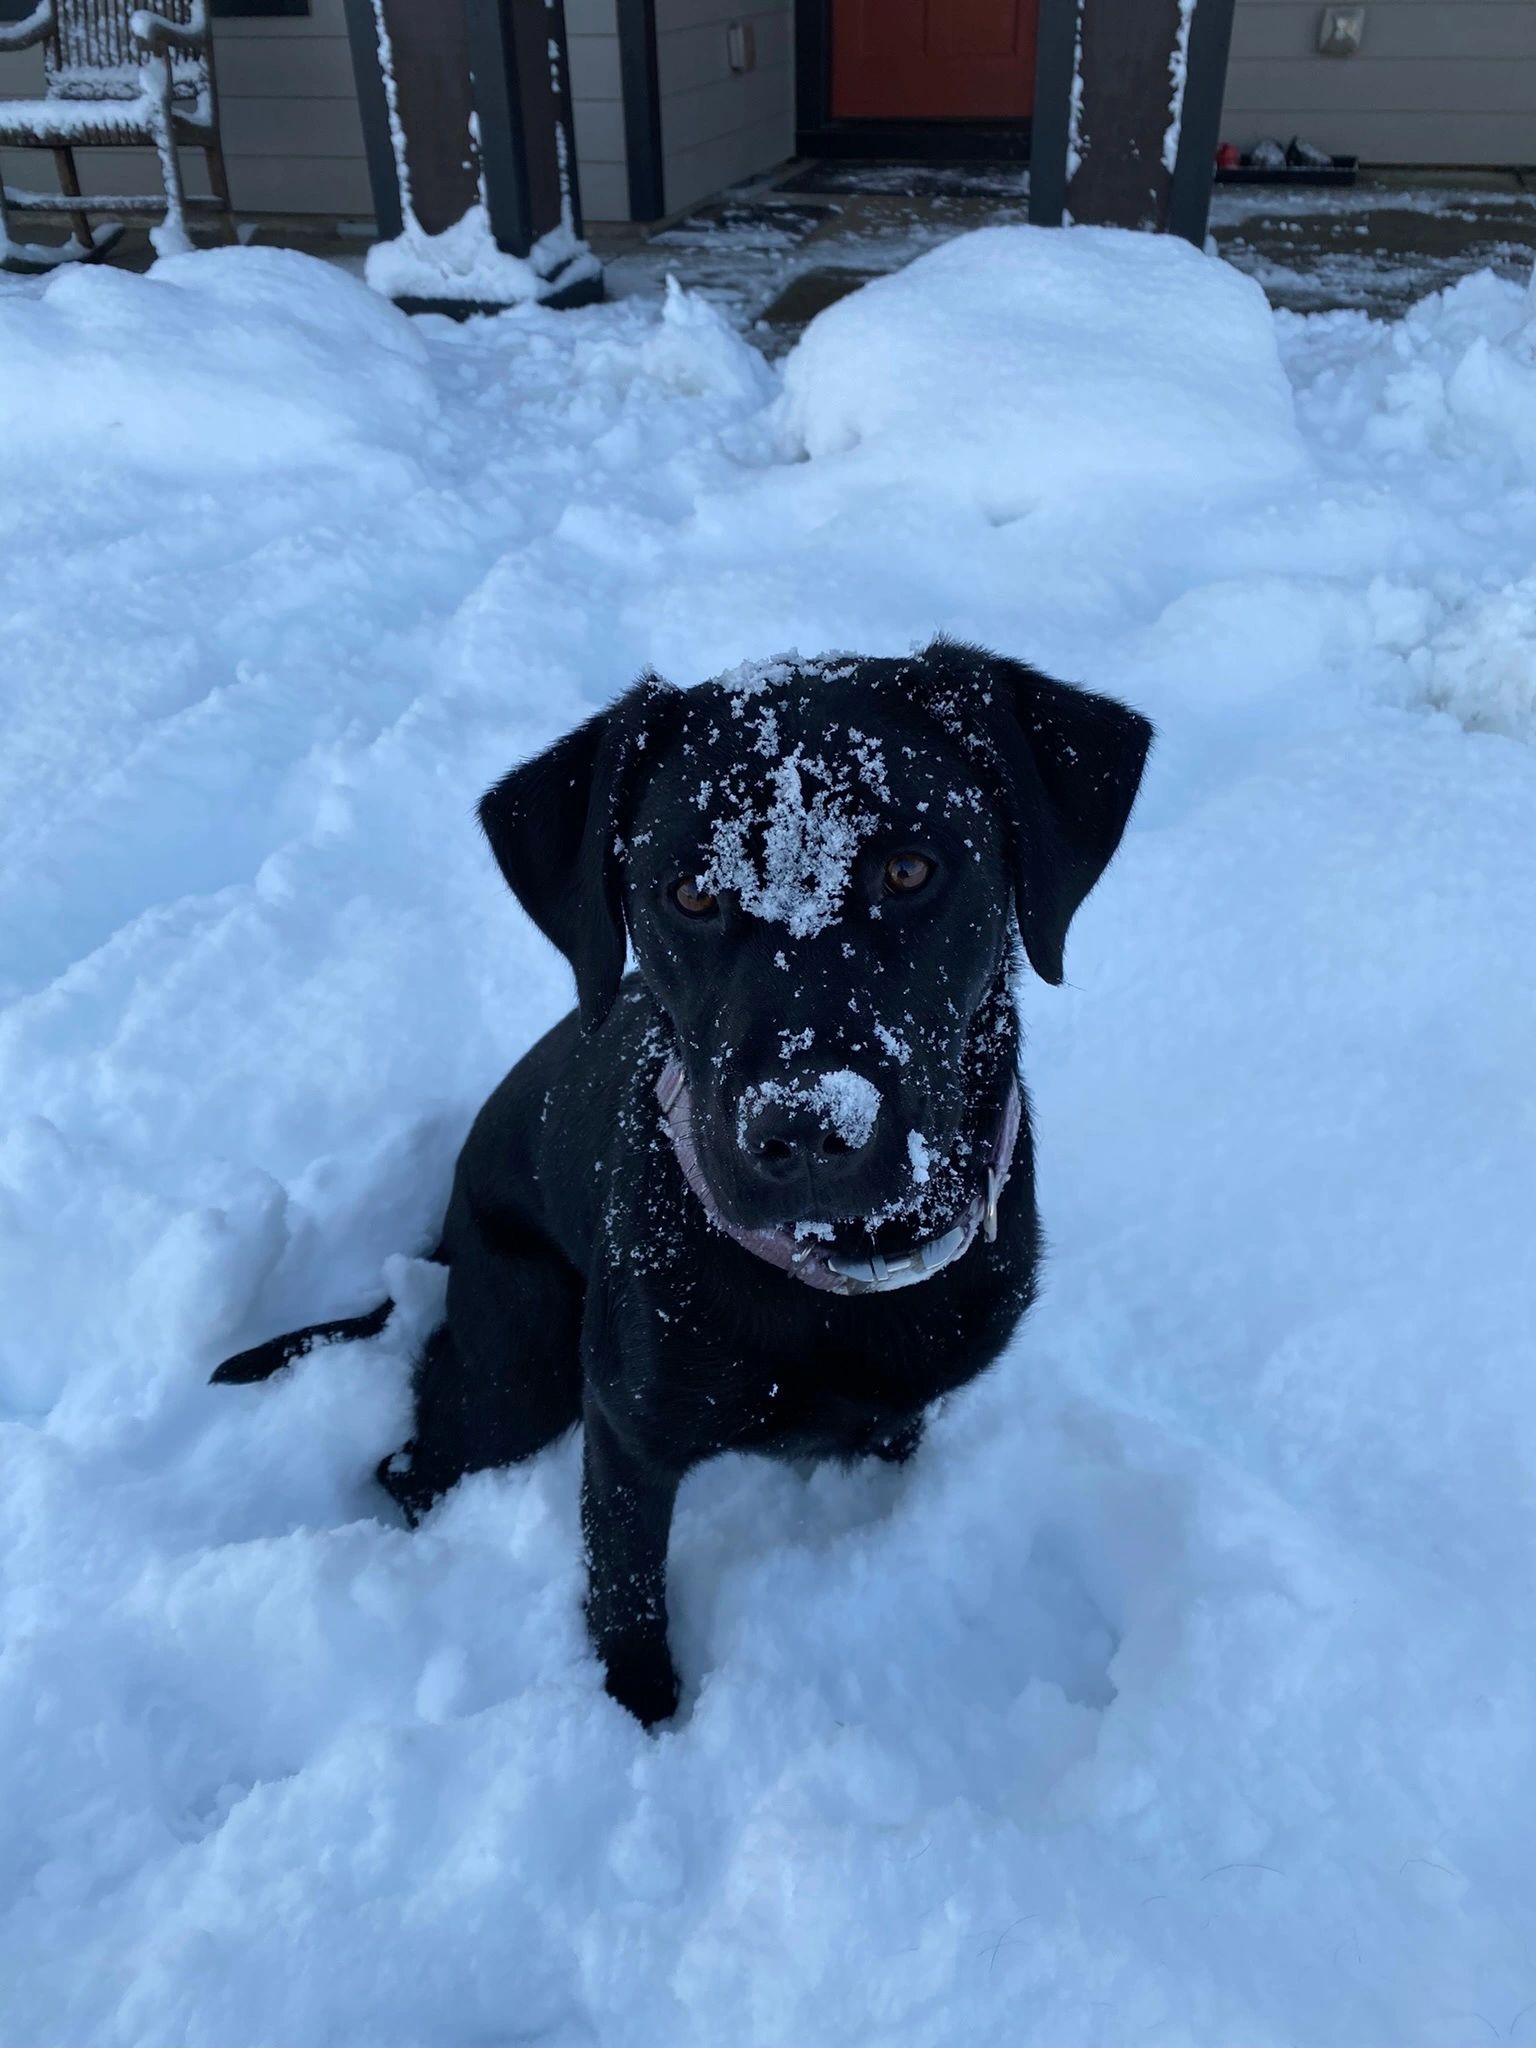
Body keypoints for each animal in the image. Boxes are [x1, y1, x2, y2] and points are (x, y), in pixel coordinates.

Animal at [217, 638, 1155, 1728]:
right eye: (692, 895)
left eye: (910, 868)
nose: (804, 1130)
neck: (833, 1280)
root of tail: (442, 1232)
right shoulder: (626, 1432)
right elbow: (623, 1589)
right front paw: (640, 1718)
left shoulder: (901, 1409)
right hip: (522, 1362)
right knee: (411, 1461)